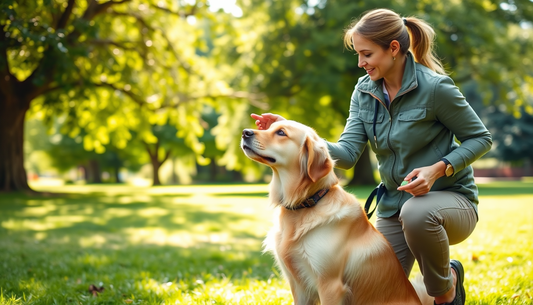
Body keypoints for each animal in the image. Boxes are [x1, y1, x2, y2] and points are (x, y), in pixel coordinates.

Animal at [241, 120, 432, 304]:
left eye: (281, 132)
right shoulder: (298, 285)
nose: (245, 132)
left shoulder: (330, 285)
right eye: (270, 127)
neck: (307, 204)